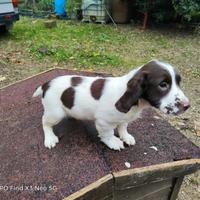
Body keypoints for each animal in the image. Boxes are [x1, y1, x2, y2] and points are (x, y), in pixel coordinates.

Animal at [33, 60, 191, 151]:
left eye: (179, 82)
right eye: (163, 84)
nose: (187, 105)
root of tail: (46, 84)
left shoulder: (124, 118)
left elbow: (123, 126)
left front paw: (125, 136)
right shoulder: (104, 122)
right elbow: (107, 134)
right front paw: (114, 142)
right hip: (55, 113)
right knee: (44, 122)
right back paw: (49, 138)